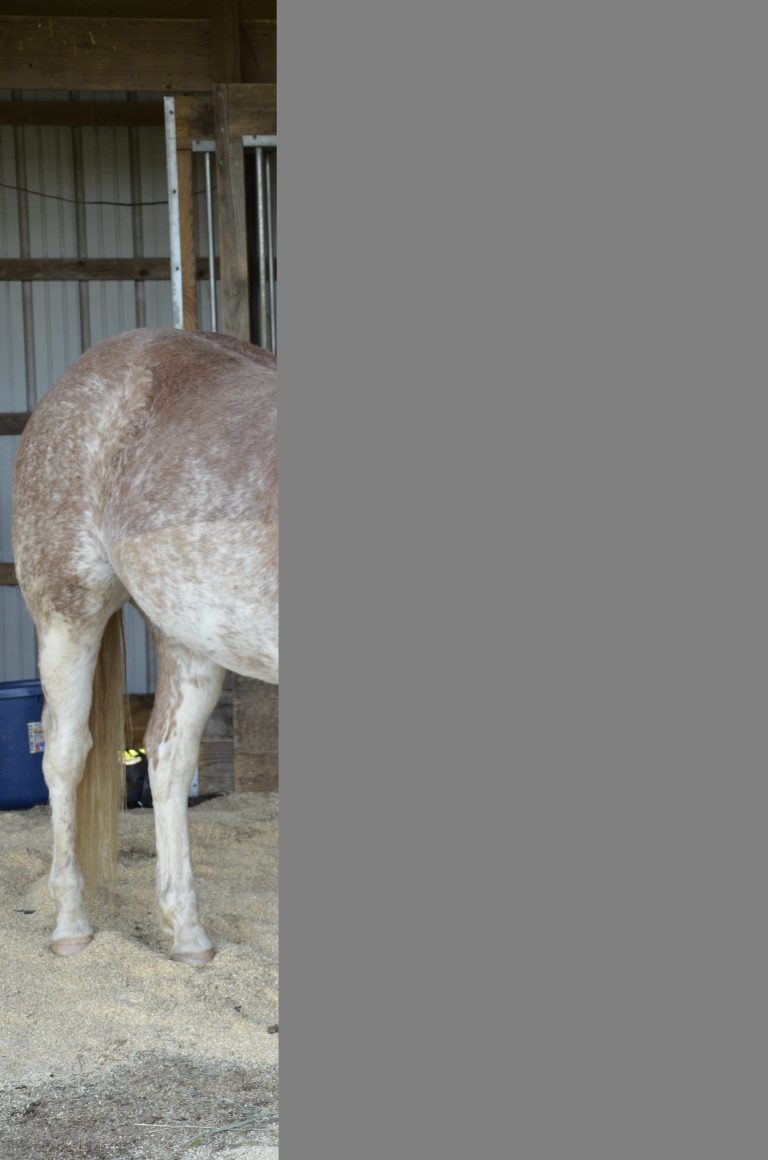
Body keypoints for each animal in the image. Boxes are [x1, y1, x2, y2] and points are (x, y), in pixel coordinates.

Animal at [11, 328, 277, 966]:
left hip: (189, 635)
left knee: (167, 758)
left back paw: (188, 937)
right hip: (69, 616)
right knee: (64, 754)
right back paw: (71, 926)